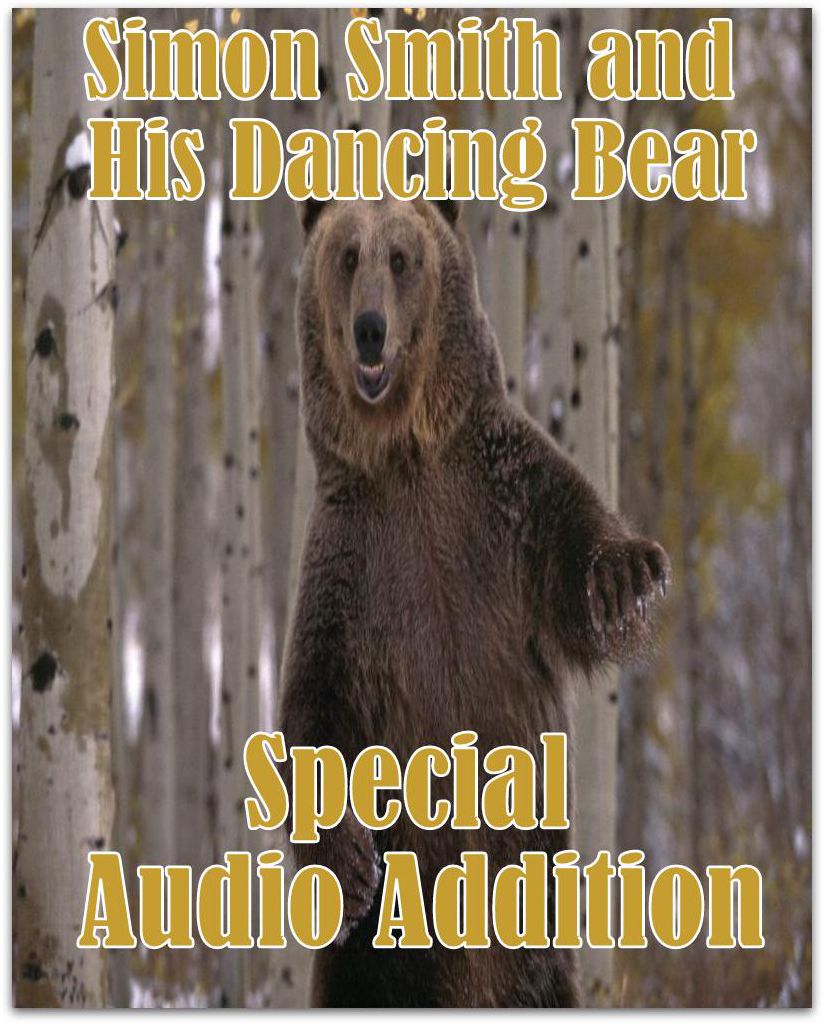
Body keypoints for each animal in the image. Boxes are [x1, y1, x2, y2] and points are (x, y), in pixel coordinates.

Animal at [279, 194, 670, 1008]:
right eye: (348, 256)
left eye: (401, 258)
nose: (370, 328)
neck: (407, 454)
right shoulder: (351, 567)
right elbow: (315, 706)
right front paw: (348, 862)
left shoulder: (501, 504)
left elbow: (576, 552)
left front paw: (625, 578)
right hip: (393, 939)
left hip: (533, 908)